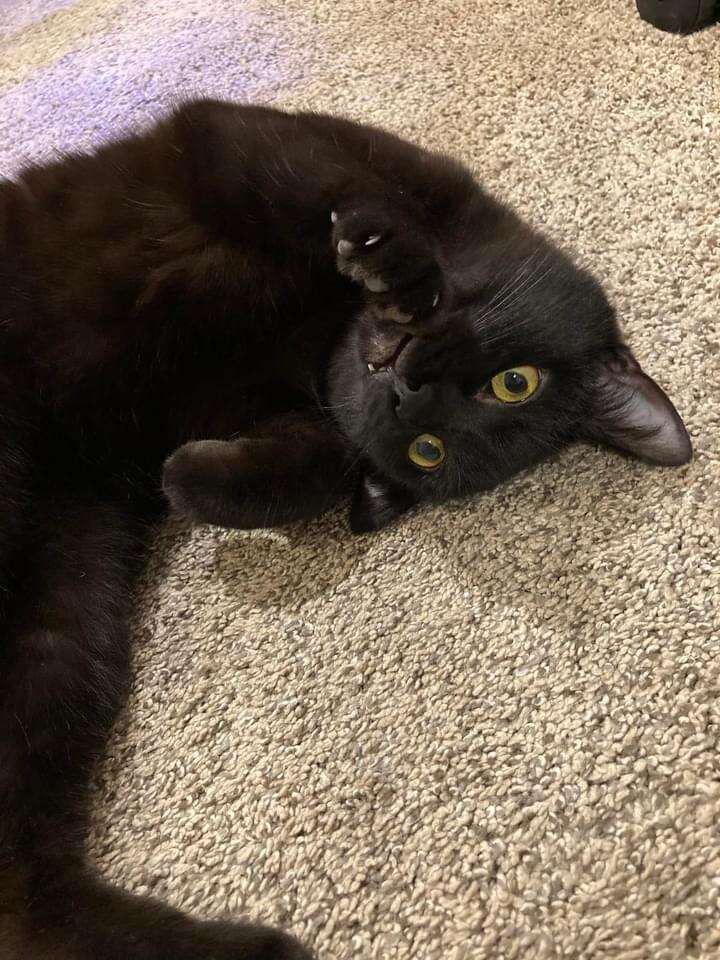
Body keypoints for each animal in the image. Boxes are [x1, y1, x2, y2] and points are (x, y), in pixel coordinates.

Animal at [0, 99, 688, 960]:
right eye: (516, 382)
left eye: (429, 451)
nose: (409, 392)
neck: (311, 334)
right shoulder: (244, 137)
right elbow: (323, 184)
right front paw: (389, 258)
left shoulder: (270, 409)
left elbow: (319, 460)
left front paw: (190, 478)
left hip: (66, 614)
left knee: (22, 887)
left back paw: (249, 951)